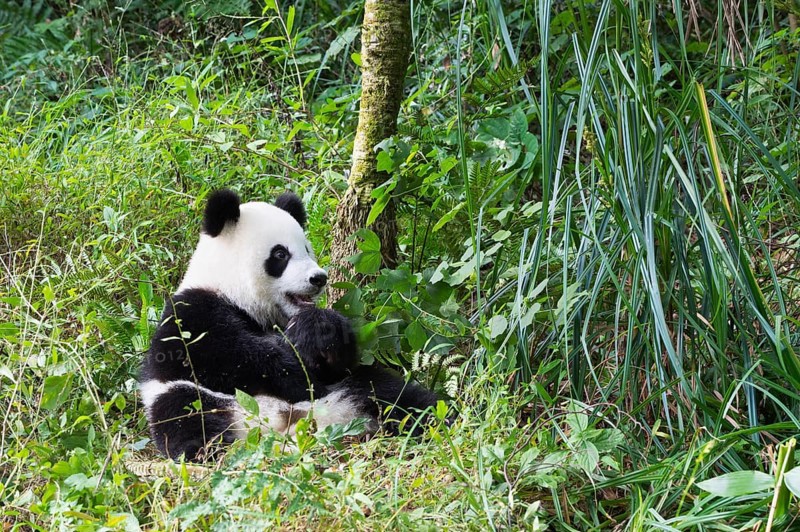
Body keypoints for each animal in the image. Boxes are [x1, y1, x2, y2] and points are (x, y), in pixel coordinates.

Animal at [139, 189, 440, 460]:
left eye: (306, 249)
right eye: (280, 254)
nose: (318, 278)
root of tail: (289, 424)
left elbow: (336, 362)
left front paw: (318, 330)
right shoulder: (192, 311)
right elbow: (220, 356)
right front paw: (295, 369)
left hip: (353, 388)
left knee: (393, 394)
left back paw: (437, 418)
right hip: (199, 401)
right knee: (183, 412)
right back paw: (208, 451)